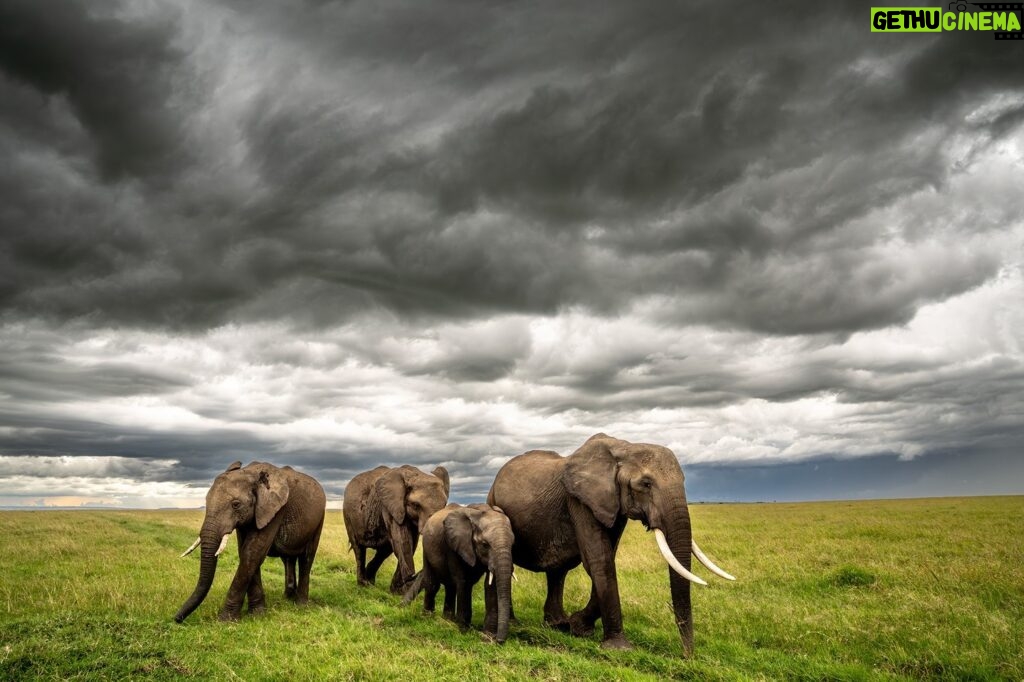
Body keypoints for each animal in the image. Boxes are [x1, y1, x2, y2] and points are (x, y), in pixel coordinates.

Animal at [172, 456, 323, 622]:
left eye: (236, 505)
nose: (176, 619)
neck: (251, 473)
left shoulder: (276, 509)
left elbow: (252, 552)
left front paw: (226, 620)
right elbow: (246, 551)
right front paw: (257, 614)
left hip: (319, 520)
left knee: (306, 557)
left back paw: (300, 605)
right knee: (288, 558)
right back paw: (287, 598)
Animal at [403, 501, 516, 638]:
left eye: (513, 544)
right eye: (484, 544)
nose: (499, 640)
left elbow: (491, 585)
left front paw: (486, 636)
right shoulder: (454, 546)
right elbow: (464, 582)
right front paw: (464, 631)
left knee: (450, 586)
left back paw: (447, 620)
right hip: (426, 547)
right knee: (433, 584)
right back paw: (428, 618)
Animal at [485, 432, 733, 651]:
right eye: (645, 484)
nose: (687, 655)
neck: (624, 448)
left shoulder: (614, 505)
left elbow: (607, 557)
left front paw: (578, 627)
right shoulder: (580, 501)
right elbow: (599, 560)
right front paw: (618, 648)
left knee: (558, 571)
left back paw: (557, 624)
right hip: (493, 501)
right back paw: (519, 623)